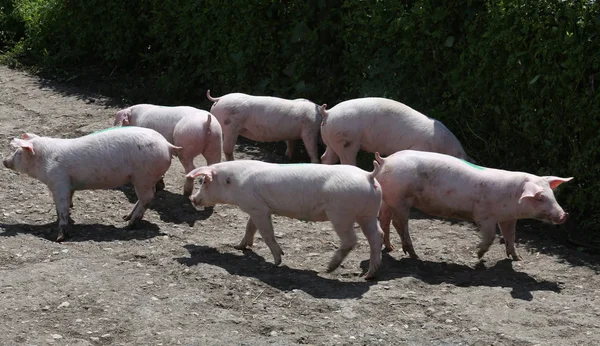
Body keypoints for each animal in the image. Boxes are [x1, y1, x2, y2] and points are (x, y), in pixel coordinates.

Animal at [2, 126, 182, 241]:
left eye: (18, 153)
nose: (4, 161)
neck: (45, 160)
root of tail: (168, 145)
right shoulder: (68, 184)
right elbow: (66, 202)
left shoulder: (59, 181)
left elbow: (62, 206)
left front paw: (59, 238)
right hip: (145, 178)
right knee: (147, 196)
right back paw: (126, 217)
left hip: (143, 176)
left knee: (147, 198)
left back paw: (129, 225)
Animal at [186, 159, 384, 278]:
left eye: (204, 181)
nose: (192, 199)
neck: (233, 182)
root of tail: (368, 176)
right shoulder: (257, 208)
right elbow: (250, 227)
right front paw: (239, 247)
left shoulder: (258, 208)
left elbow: (267, 233)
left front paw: (278, 261)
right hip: (369, 213)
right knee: (377, 236)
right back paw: (369, 275)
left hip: (341, 214)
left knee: (351, 240)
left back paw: (328, 269)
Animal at [322, 98, 472, 166]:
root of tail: (328, 113)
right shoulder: (421, 146)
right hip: (346, 140)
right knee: (346, 160)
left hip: (331, 140)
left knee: (326, 157)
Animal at [376, 150, 572, 260]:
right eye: (540, 198)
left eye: (552, 194)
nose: (564, 215)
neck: (513, 198)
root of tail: (385, 161)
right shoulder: (483, 216)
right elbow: (491, 236)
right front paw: (478, 256)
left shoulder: (508, 218)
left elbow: (511, 236)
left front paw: (519, 259)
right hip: (400, 199)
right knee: (398, 223)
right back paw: (414, 256)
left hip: (387, 198)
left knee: (384, 219)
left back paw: (390, 248)